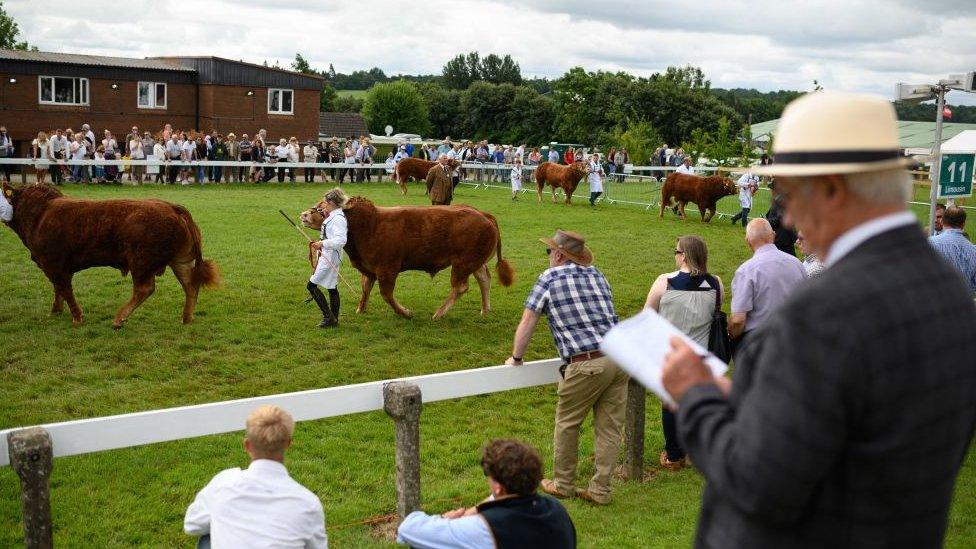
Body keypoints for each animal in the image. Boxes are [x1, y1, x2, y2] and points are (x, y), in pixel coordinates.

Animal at [1, 182, 219, 328]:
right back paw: (186, 318)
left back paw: (118, 319)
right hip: (180, 261)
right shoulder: (54, 267)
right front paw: (55, 311)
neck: (40, 215)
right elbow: (58, 290)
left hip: (141, 262)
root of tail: (171, 207)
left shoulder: (55, 265)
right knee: (190, 285)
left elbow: (65, 289)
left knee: (144, 289)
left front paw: (77, 317)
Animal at [302, 197, 516, 318]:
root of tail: (482, 213)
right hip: (474, 262)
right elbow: (365, 289)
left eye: (322, 208)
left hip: (462, 263)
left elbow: (386, 294)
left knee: (461, 286)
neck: (369, 225)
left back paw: (439, 313)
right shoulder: (369, 269)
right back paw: (485, 310)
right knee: (484, 279)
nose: (304, 214)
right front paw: (361, 309)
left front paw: (404, 312)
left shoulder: (387, 269)